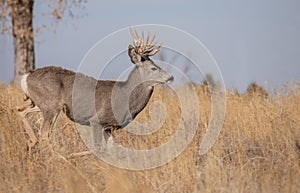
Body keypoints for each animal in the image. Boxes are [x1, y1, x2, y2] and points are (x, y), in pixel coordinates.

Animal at [17, 28, 173, 154]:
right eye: (153, 68)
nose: (171, 77)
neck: (124, 96)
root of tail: (26, 76)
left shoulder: (110, 127)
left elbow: (110, 149)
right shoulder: (96, 120)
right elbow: (98, 148)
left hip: (39, 103)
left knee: (21, 110)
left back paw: (32, 142)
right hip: (51, 105)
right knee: (44, 133)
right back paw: (61, 158)